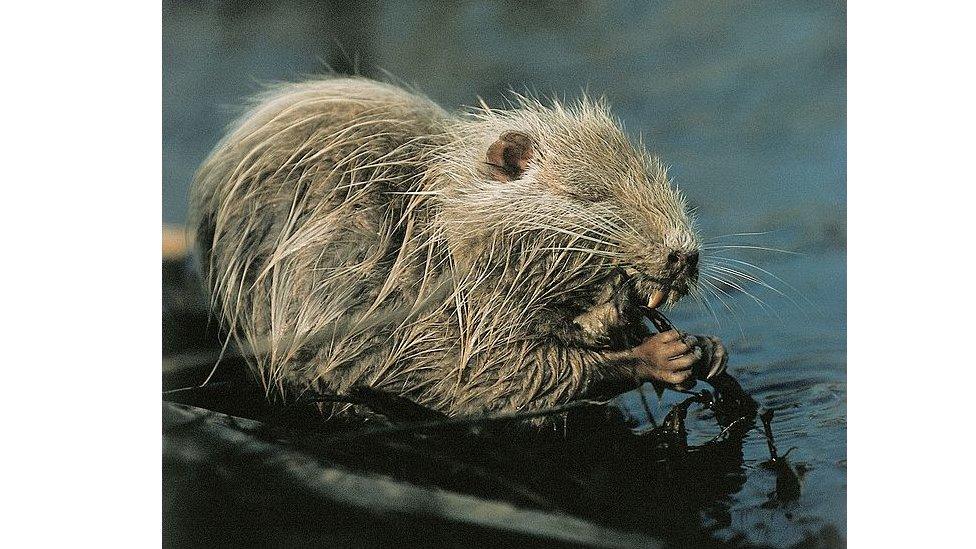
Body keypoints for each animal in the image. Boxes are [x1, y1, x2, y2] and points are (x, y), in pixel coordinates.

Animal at [189, 77, 724, 418]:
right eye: (592, 195)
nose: (684, 256)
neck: (438, 226)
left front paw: (706, 347)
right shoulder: (432, 304)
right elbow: (494, 378)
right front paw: (661, 353)